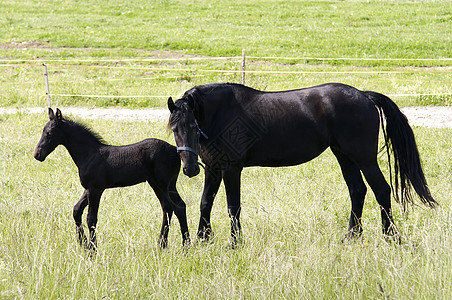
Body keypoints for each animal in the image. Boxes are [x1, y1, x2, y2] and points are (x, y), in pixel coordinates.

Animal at [34, 108, 190, 251]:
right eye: (43, 131)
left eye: (49, 133)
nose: (37, 154)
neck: (89, 154)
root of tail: (175, 151)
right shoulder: (88, 189)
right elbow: (76, 210)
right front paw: (83, 243)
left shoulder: (96, 189)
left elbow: (91, 218)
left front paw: (93, 249)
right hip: (160, 184)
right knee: (173, 207)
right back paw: (170, 245)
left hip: (163, 184)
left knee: (174, 207)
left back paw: (178, 246)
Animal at [168, 81, 436, 244]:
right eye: (174, 129)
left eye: (193, 126)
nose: (189, 169)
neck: (221, 114)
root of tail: (364, 96)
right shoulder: (213, 169)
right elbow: (205, 203)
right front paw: (203, 239)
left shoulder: (231, 169)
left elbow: (233, 207)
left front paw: (235, 243)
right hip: (344, 156)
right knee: (357, 190)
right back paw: (351, 236)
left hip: (364, 158)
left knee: (381, 189)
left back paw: (390, 236)